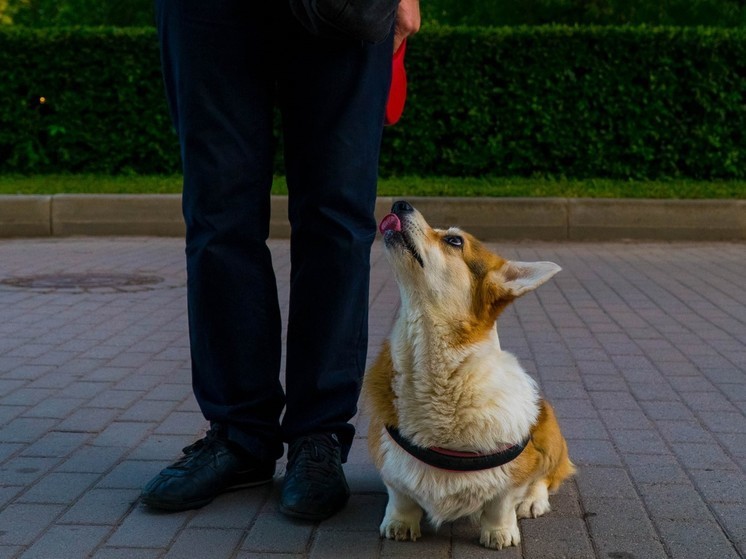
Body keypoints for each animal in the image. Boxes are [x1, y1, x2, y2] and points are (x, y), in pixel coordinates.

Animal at [364, 201, 572, 552]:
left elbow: (502, 502)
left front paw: (500, 532)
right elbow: (400, 496)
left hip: (547, 428)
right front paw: (399, 524)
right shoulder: (390, 460)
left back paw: (533, 502)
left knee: (546, 477)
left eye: (454, 241)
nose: (399, 204)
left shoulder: (512, 469)